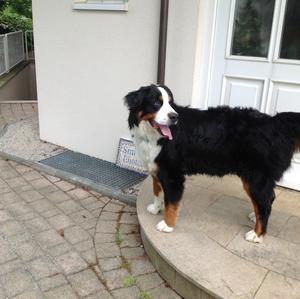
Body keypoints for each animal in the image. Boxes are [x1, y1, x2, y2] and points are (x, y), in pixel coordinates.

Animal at [124, 84, 300, 244]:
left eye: (171, 103)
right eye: (156, 103)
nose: (174, 116)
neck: (153, 136)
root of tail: (274, 122)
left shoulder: (173, 174)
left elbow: (172, 203)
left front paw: (168, 224)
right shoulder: (157, 169)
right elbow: (157, 191)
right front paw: (155, 208)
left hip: (255, 177)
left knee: (265, 204)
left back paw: (257, 234)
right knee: (268, 199)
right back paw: (253, 216)